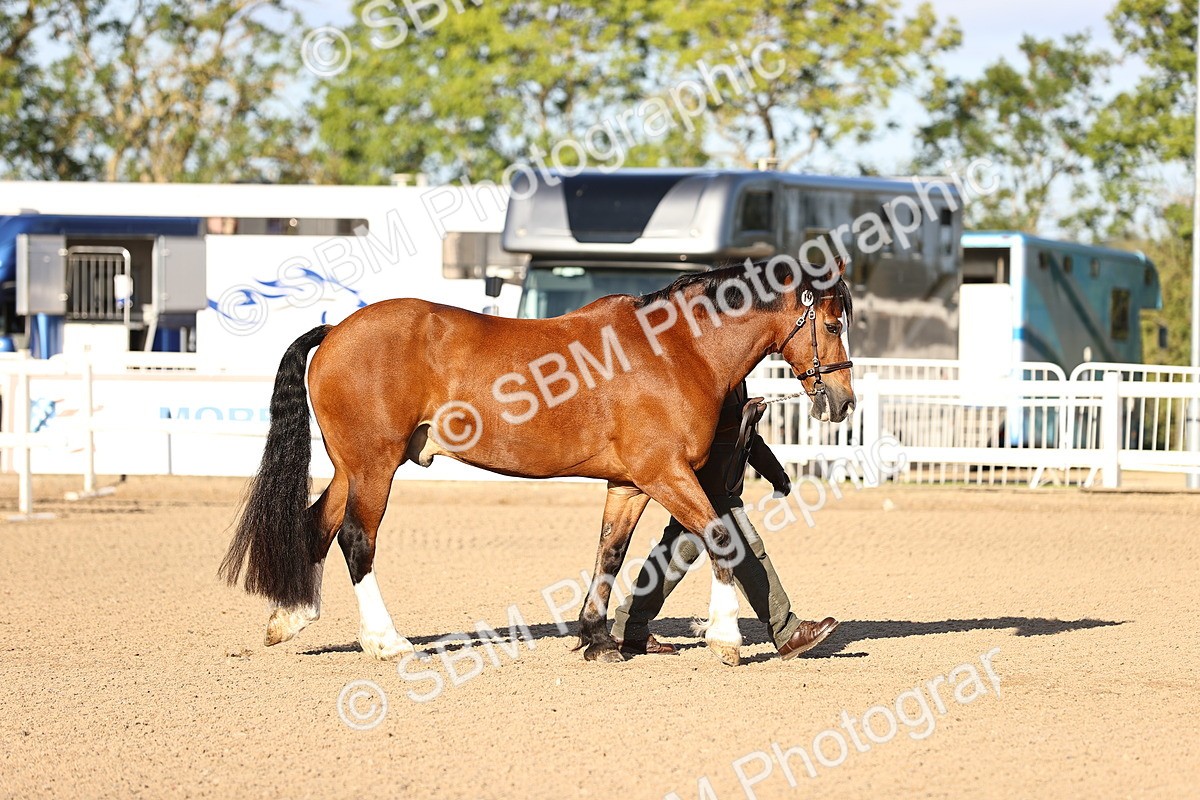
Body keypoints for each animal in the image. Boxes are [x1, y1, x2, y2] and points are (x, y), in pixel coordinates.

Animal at [219, 256, 855, 666]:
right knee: (356, 539)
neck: (676, 350)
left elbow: (610, 555)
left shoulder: (629, 484)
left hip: (351, 467)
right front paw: (726, 640)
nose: (844, 402)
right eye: (831, 323)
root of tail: (335, 331)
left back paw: (291, 618)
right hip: (374, 467)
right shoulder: (665, 473)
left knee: (317, 524)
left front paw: (598, 640)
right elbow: (721, 535)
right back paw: (385, 641)